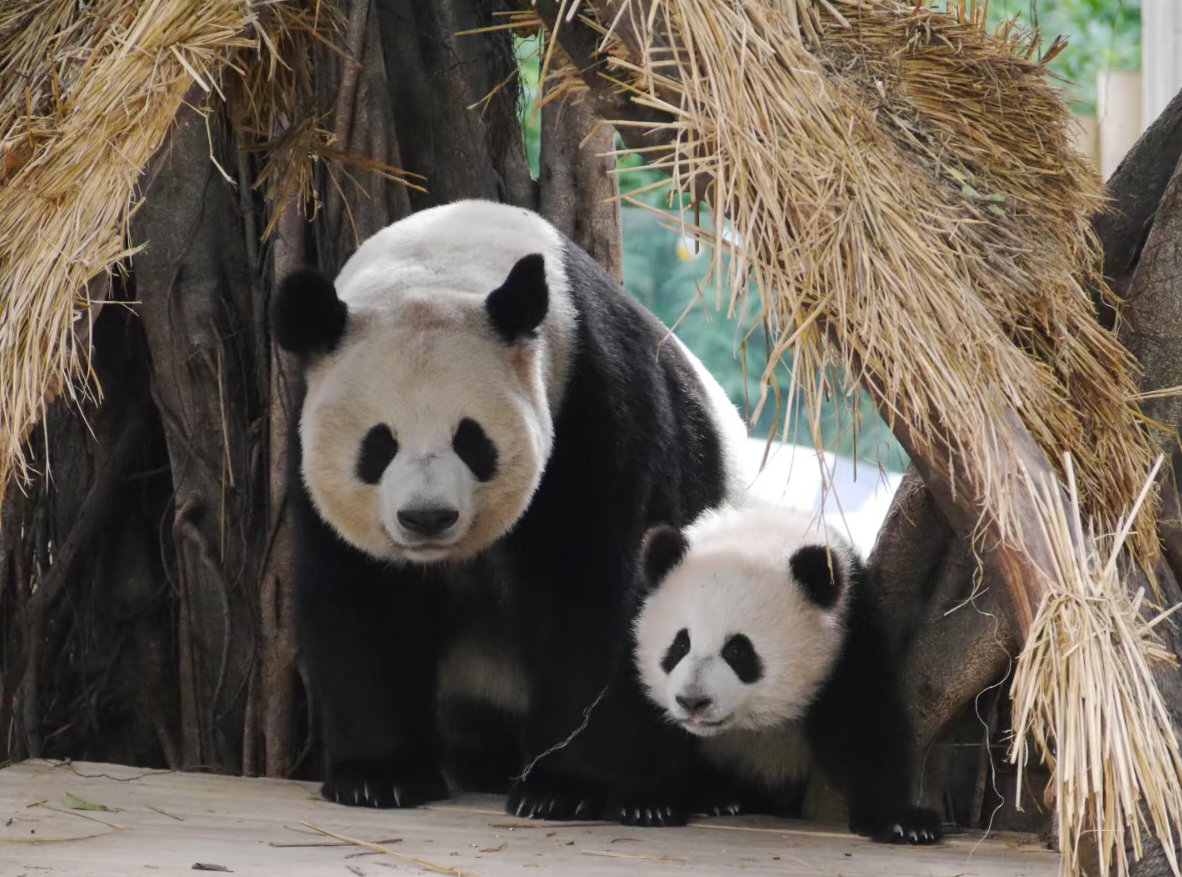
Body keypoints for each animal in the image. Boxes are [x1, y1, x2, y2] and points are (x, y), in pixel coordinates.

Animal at [271, 202, 742, 827]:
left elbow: (597, 596)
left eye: (471, 440)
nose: (427, 518)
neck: (441, 259)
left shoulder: (598, 403)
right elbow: (361, 599)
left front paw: (560, 788)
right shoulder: (308, 444)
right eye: (378, 445)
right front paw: (377, 777)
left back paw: (676, 799)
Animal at [628, 505, 940, 846]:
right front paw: (650, 806)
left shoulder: (849, 636)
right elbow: (639, 718)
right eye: (680, 644)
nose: (692, 701)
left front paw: (903, 822)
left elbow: (863, 723)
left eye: (738, 651)